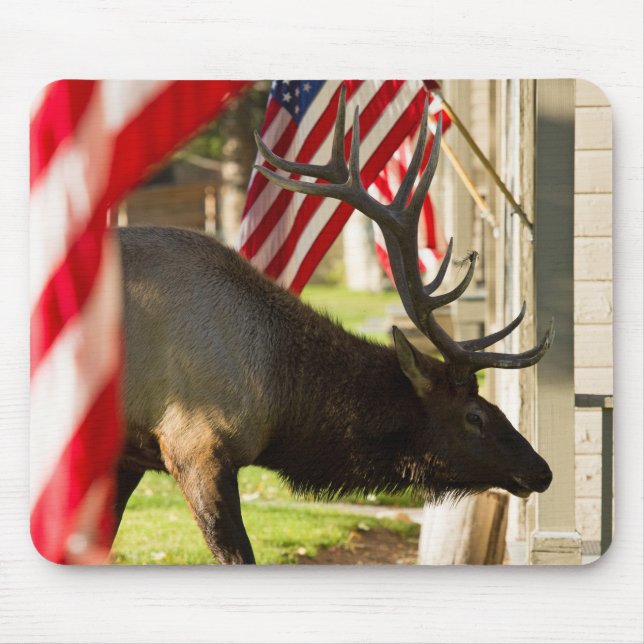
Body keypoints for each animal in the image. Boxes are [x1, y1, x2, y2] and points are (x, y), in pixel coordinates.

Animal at [115, 86, 554, 564]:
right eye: (475, 414)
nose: (542, 470)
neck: (278, 398)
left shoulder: (132, 454)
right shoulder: (195, 445)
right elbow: (239, 554)